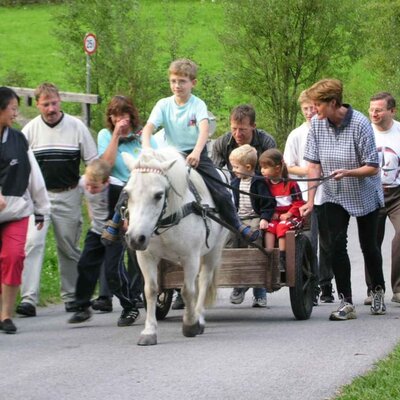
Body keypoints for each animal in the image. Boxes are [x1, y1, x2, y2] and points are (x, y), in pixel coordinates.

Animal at [122, 147, 228, 344]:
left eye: (158, 195)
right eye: (127, 193)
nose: (135, 238)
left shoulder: (191, 257)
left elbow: (188, 290)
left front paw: (191, 324)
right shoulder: (146, 256)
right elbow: (150, 290)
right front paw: (149, 331)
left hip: (214, 251)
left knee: (203, 280)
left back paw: (199, 317)